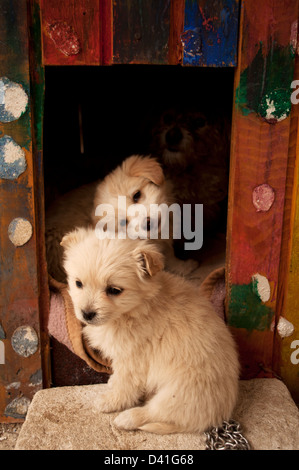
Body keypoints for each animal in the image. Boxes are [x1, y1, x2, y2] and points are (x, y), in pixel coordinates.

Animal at [62, 228, 240, 434]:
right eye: (78, 283)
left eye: (114, 290)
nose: (87, 314)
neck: (136, 308)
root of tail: (218, 415)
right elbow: (118, 376)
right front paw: (112, 382)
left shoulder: (132, 361)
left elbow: (125, 386)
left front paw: (109, 401)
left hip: (178, 394)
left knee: (155, 412)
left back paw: (127, 418)